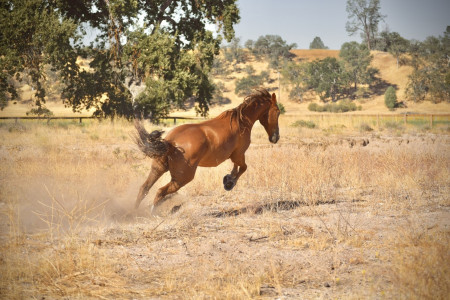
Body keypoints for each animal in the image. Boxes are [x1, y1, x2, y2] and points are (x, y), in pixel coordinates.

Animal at [134, 88, 282, 212]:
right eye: (278, 112)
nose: (275, 138)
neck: (241, 122)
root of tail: (171, 142)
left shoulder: (235, 155)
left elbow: (237, 168)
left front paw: (228, 179)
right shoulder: (239, 154)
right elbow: (243, 168)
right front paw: (229, 183)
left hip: (158, 169)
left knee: (144, 189)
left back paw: (133, 212)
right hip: (182, 178)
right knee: (160, 191)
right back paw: (153, 212)